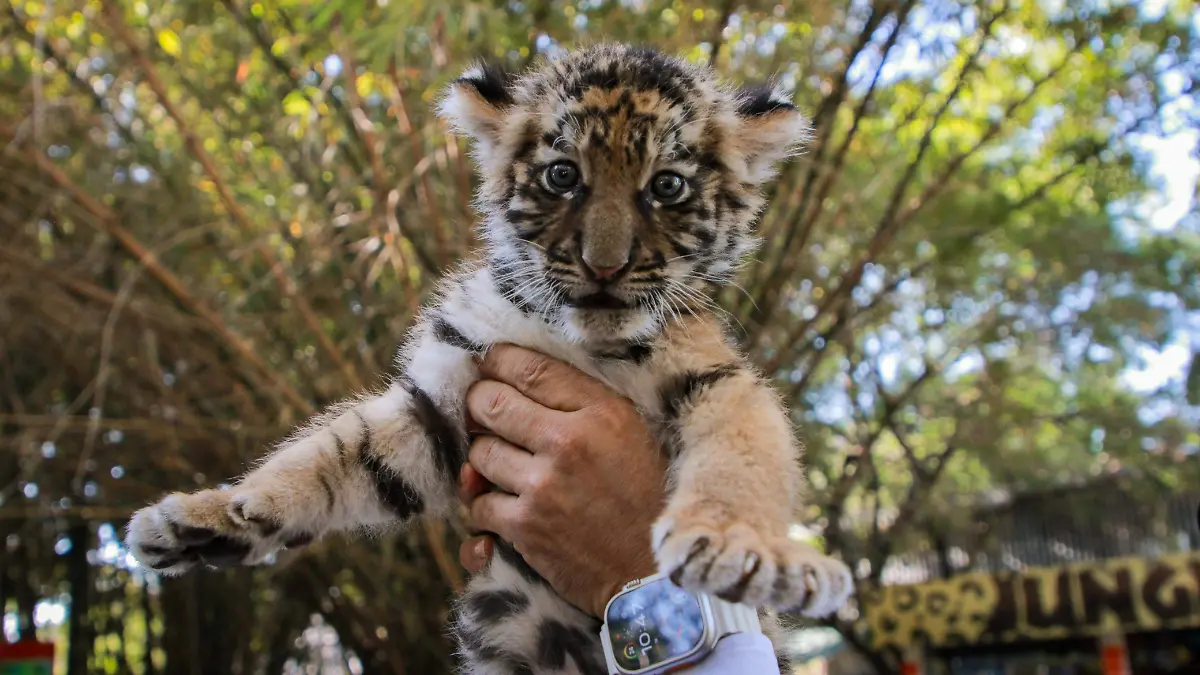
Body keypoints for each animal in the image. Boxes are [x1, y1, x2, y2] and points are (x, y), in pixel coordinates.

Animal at [125, 43, 854, 674]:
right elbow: (329, 456)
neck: (578, 335)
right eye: (564, 176)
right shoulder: (443, 404)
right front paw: (213, 515)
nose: (605, 266)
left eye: (667, 187)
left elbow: (741, 460)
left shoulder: (717, 383)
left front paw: (745, 553)